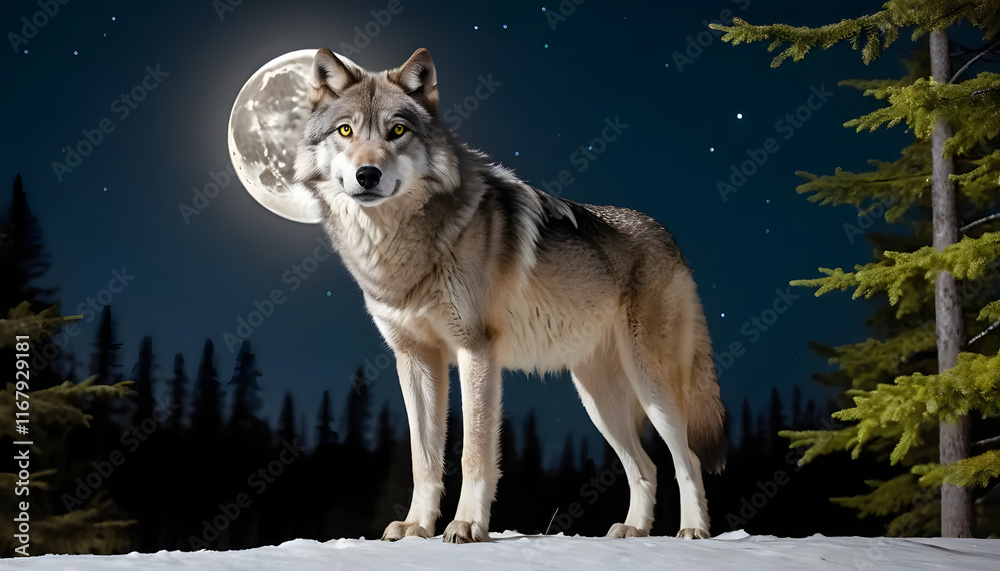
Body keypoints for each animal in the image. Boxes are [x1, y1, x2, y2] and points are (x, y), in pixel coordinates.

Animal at [294, 47, 727, 543]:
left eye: (397, 131)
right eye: (345, 130)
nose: (368, 175)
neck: (400, 249)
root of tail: (668, 237)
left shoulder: (476, 349)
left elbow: (474, 453)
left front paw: (466, 525)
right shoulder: (415, 357)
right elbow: (424, 459)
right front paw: (417, 526)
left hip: (651, 384)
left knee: (686, 459)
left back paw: (693, 530)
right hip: (598, 400)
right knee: (647, 467)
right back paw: (633, 530)